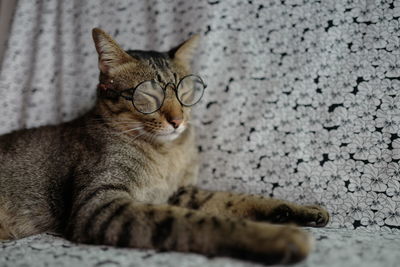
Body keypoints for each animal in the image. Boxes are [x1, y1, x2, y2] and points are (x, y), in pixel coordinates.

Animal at [0, 27, 330, 266]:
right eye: (149, 95)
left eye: (185, 91)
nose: (177, 120)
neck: (167, 154)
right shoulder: (99, 205)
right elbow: (200, 222)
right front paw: (276, 237)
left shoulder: (181, 192)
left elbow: (234, 200)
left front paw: (302, 211)